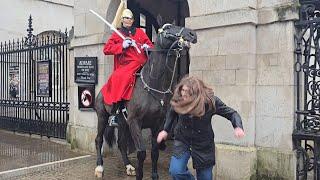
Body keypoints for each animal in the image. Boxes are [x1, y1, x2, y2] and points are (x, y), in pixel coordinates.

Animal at [94, 23, 196, 179]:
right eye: (168, 28)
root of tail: (102, 90)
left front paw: (154, 175)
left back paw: (129, 166)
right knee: (99, 139)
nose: (192, 34)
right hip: (102, 116)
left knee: (121, 143)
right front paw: (140, 175)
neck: (152, 85)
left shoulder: (157, 123)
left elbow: (154, 152)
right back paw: (99, 167)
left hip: (123, 122)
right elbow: (141, 152)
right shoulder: (135, 122)